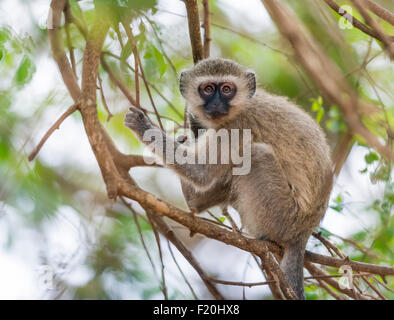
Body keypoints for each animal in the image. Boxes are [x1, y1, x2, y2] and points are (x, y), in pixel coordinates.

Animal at [124, 57, 334, 300]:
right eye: (207, 89)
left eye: (226, 89)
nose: (216, 104)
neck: (241, 106)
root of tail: (302, 233)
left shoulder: (237, 126)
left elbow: (200, 172)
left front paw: (144, 126)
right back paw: (197, 201)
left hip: (281, 217)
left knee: (255, 154)